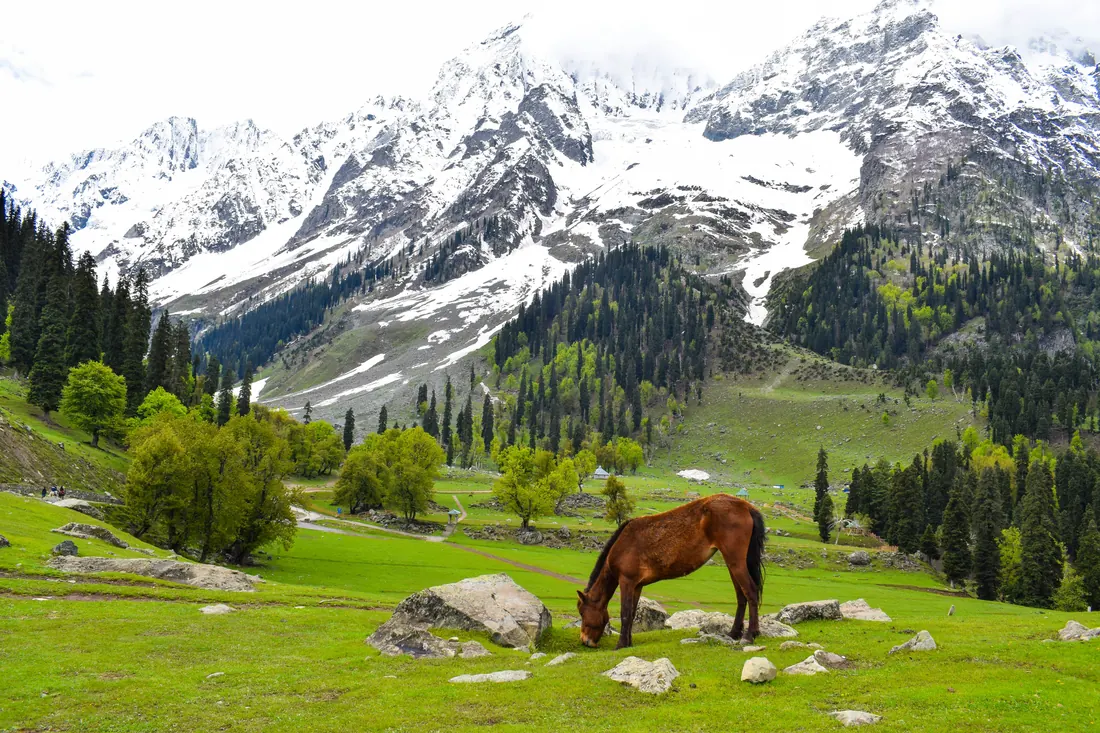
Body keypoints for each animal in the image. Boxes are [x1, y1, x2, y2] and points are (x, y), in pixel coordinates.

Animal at [576, 493, 765, 649]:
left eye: (582, 612)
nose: (585, 641)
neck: (622, 544)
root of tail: (746, 506)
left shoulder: (626, 581)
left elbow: (625, 613)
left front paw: (621, 644)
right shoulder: (637, 585)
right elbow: (632, 613)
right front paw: (628, 643)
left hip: (735, 562)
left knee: (751, 591)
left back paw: (750, 635)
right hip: (732, 564)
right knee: (741, 596)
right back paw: (734, 633)